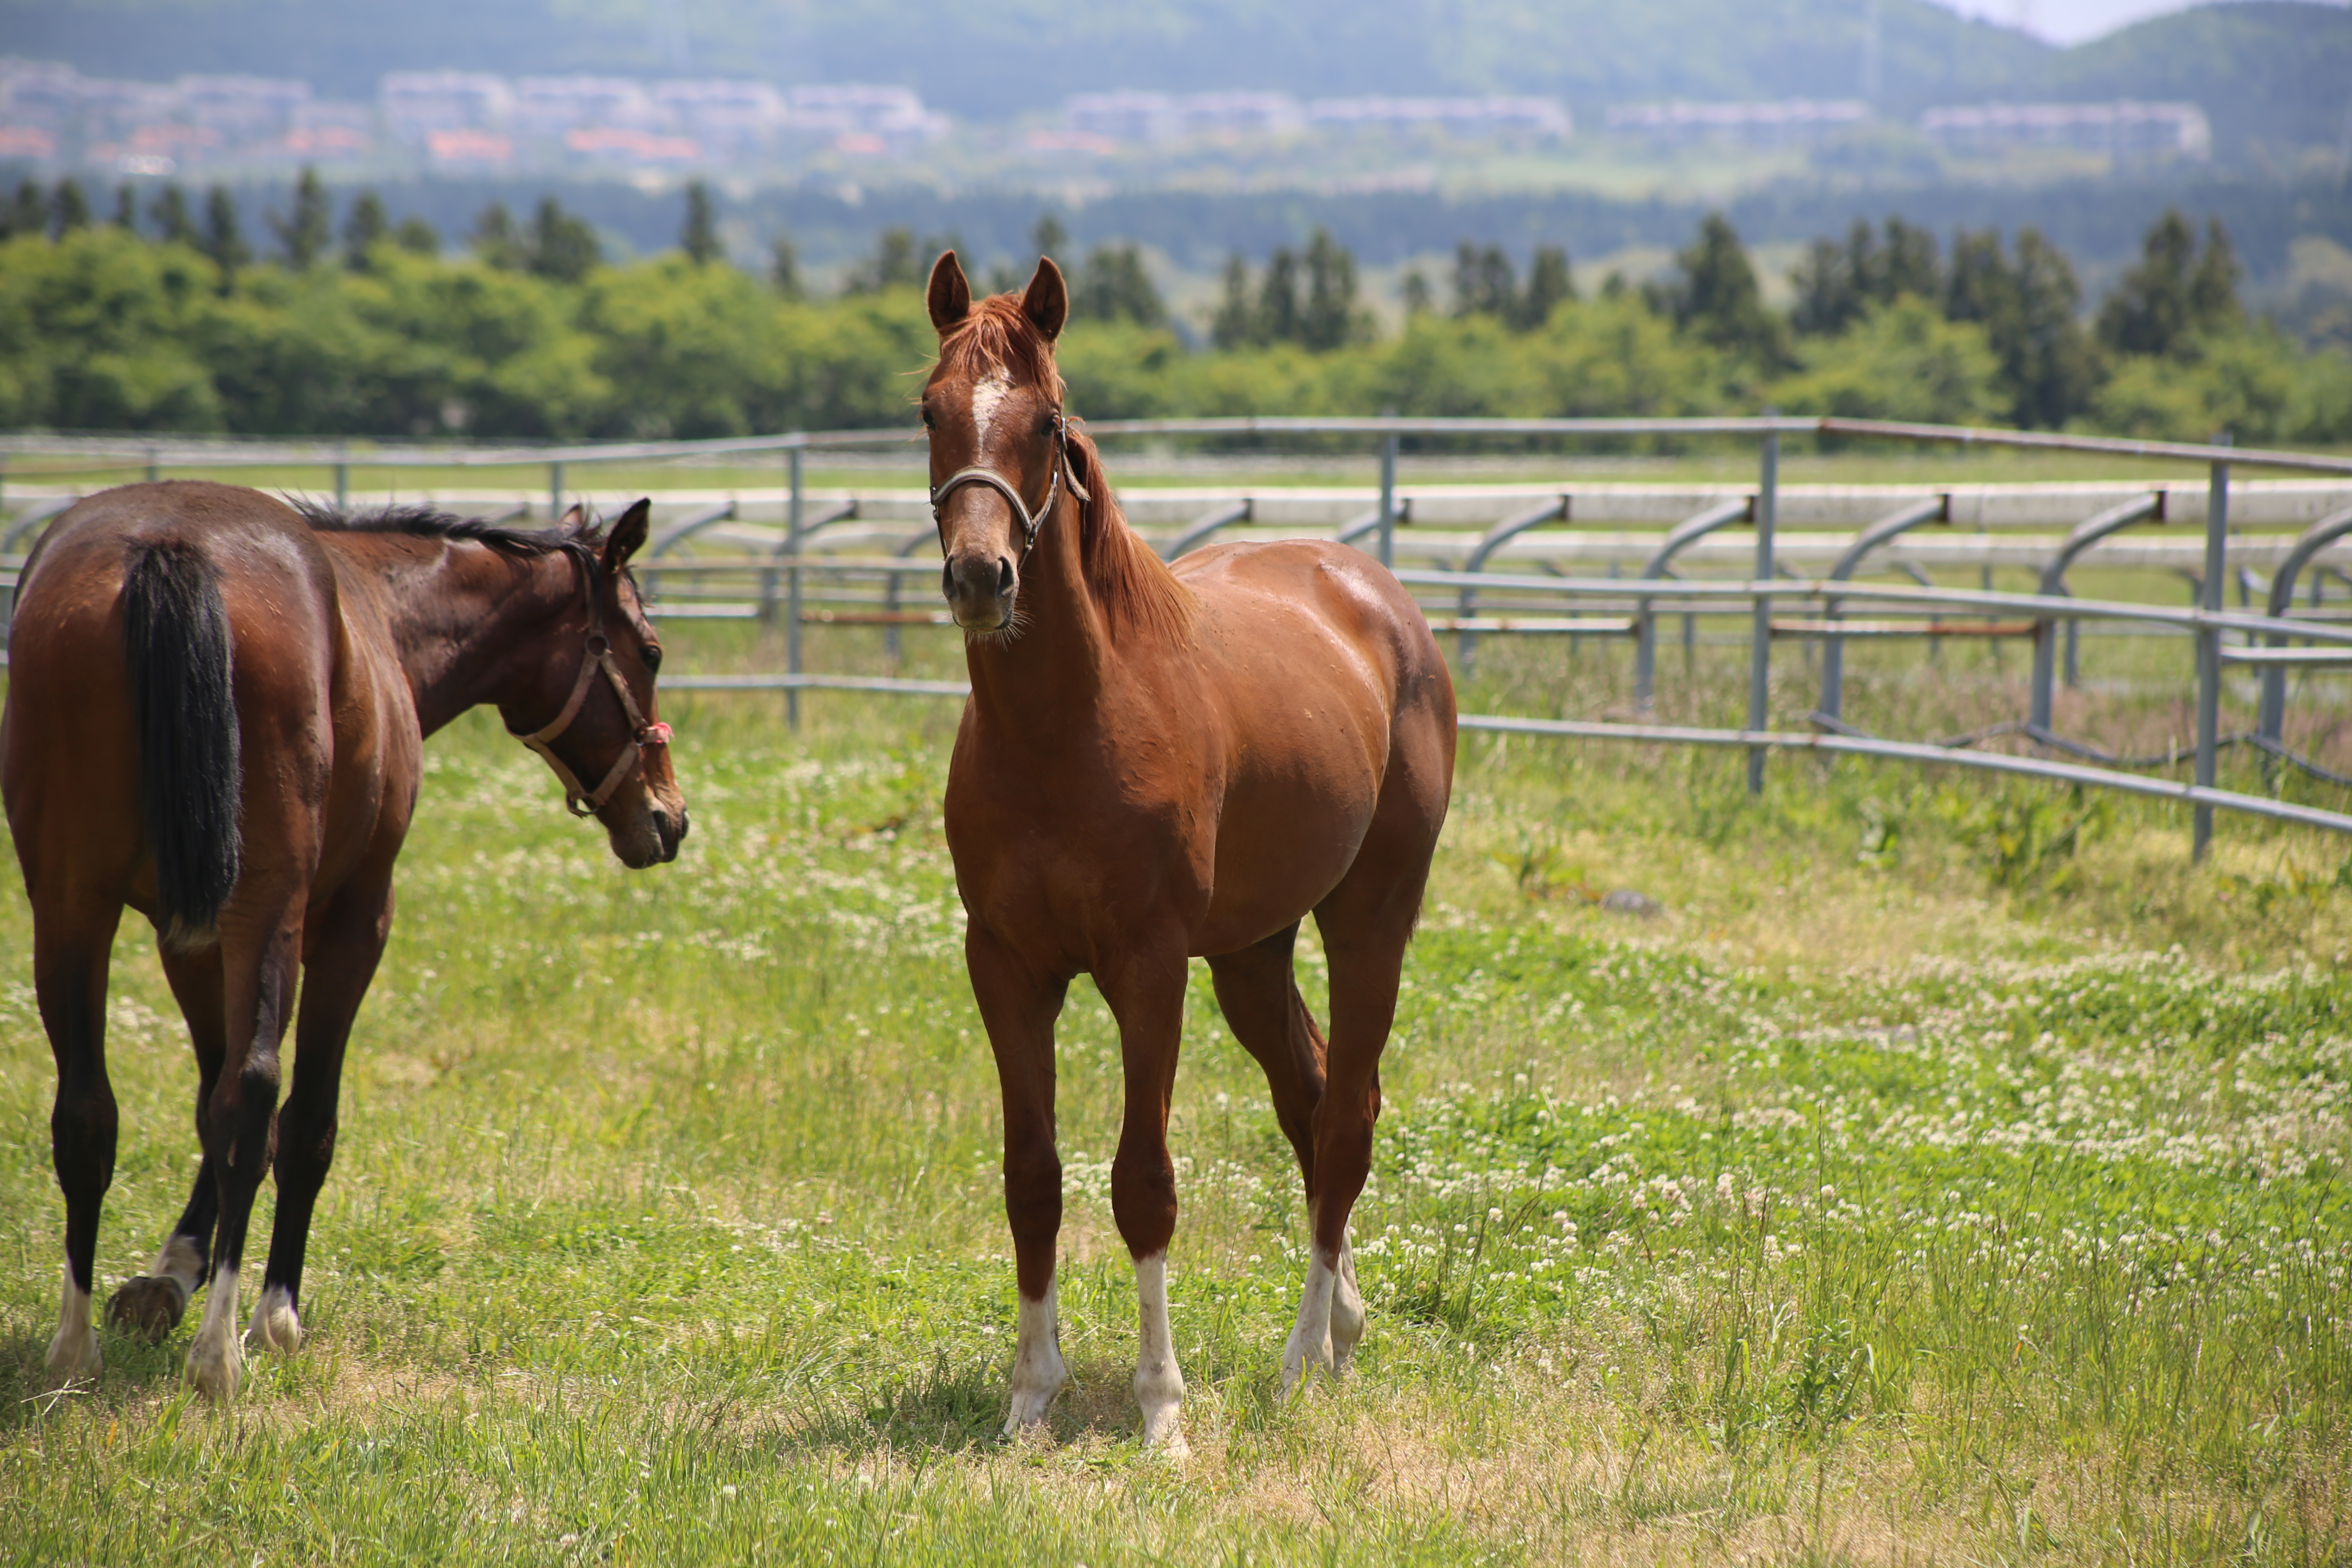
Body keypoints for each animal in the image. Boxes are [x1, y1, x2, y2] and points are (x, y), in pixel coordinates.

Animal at [4, 482, 686, 1401]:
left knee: (89, 1110)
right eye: (649, 651)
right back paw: (221, 1352)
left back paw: (76, 1350)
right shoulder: (357, 919)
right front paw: (273, 1313)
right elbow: (302, 1122)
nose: (668, 816)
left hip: (72, 905)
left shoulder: (189, 936)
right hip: (263, 902)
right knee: (255, 1097)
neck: (380, 613)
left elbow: (206, 1104)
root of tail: (170, 548)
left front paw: (172, 1271)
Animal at [922, 252, 1449, 1457]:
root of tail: (1378, 601)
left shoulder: (1148, 968)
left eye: (1047, 419)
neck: (1066, 729)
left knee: (1343, 1119)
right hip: (1251, 952)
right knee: (1311, 1098)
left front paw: (1161, 1409)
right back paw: (1341, 1325)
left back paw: (1299, 1363)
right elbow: (1033, 1177)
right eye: (929, 411)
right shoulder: (1005, 969)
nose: (979, 578)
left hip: (1369, 921)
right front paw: (1030, 1398)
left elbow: (1143, 1184)